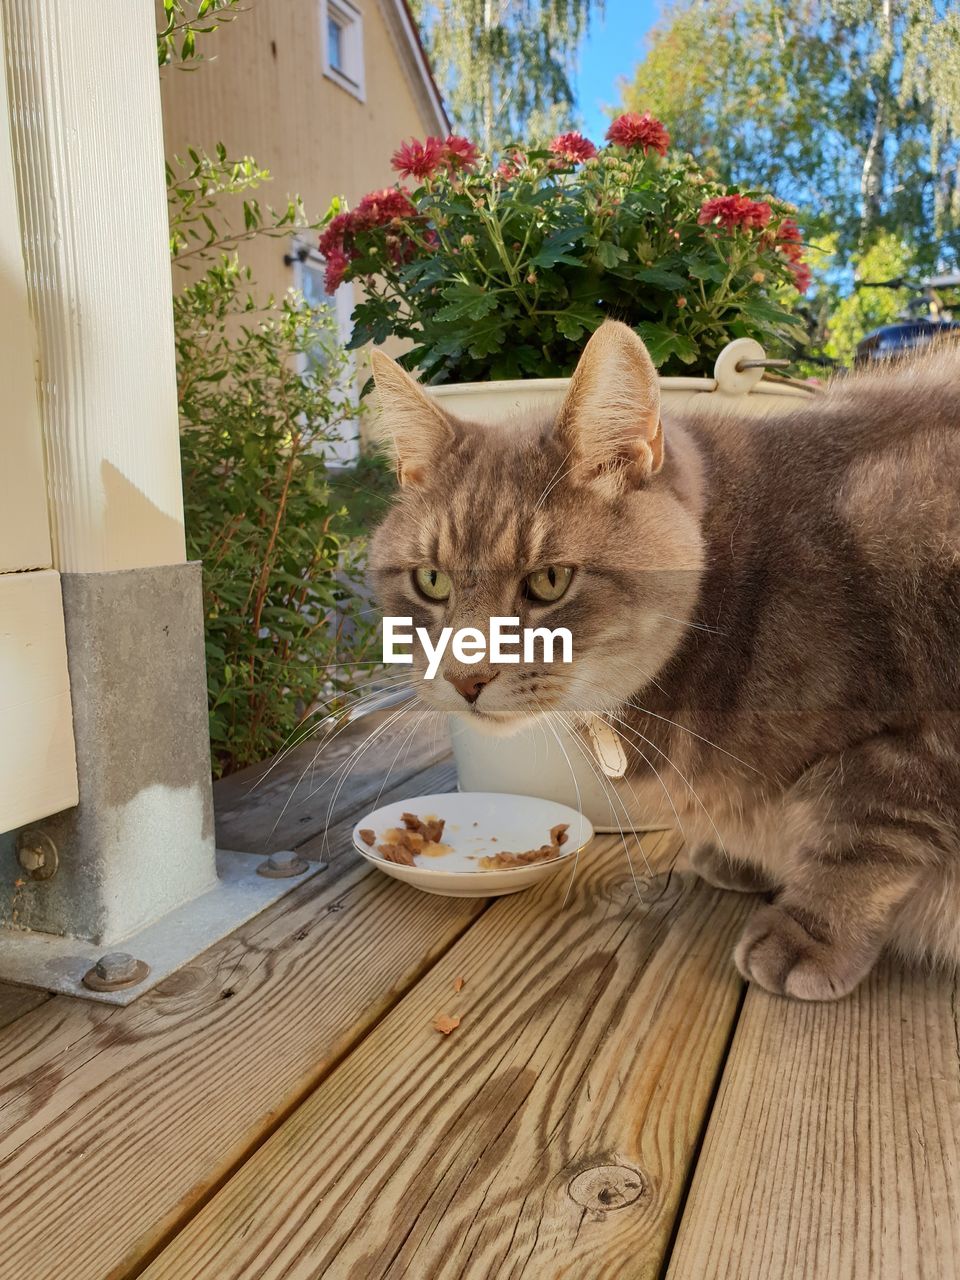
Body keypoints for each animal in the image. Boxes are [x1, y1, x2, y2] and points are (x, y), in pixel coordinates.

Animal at [368, 320, 960, 998]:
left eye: (549, 581)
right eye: (431, 580)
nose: (466, 679)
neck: (742, 595)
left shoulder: (931, 728)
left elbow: (870, 826)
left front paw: (810, 930)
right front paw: (747, 857)